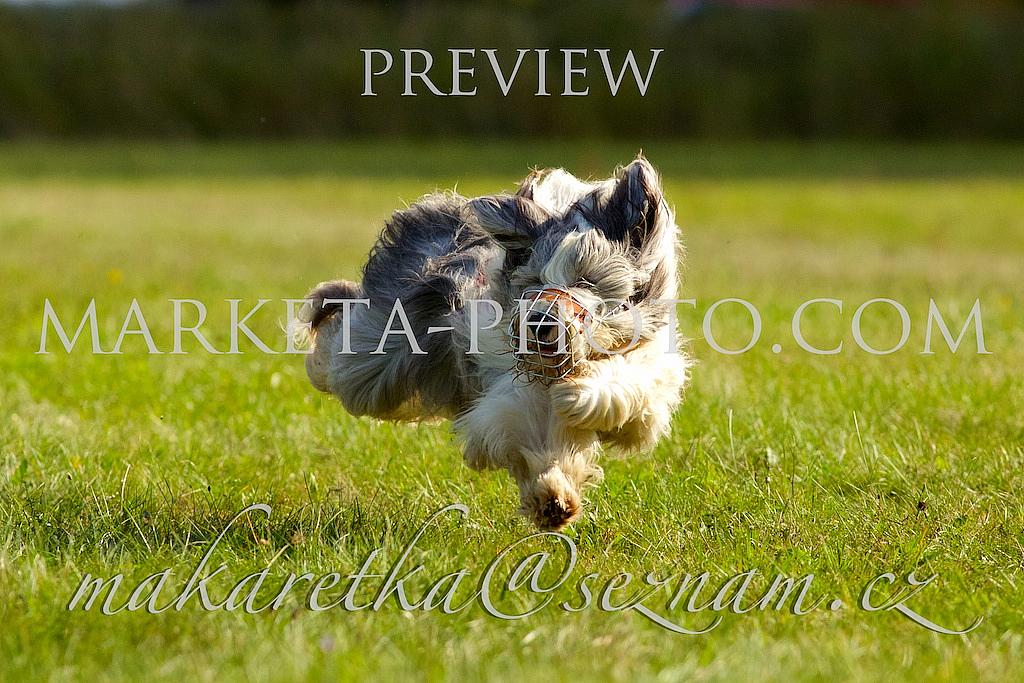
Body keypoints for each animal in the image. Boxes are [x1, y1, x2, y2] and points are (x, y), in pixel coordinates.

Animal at [302, 155, 691, 530]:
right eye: (534, 280)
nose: (540, 321)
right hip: (378, 356)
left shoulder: (649, 369)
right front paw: (550, 498)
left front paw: (577, 399)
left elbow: (626, 389)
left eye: (586, 281)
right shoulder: (513, 393)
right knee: (347, 358)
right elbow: (529, 429)